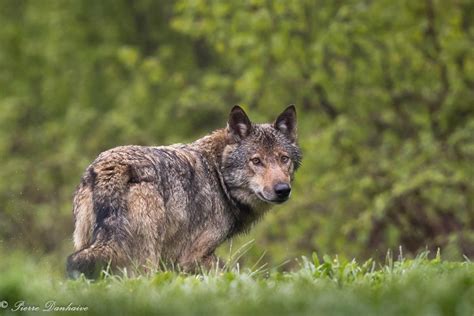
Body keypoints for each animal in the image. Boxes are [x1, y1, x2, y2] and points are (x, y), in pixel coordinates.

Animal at [66, 105, 302, 278]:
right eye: (256, 161)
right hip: (144, 259)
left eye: (284, 159)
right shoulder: (193, 257)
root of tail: (113, 167)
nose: (282, 190)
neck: (218, 176)